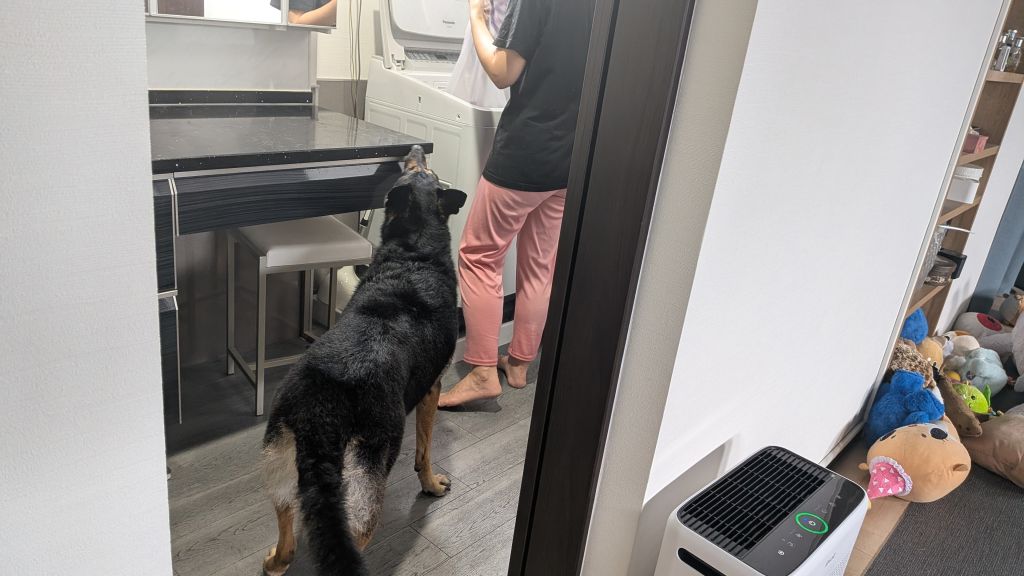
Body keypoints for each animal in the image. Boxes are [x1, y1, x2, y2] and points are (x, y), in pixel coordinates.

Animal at [260, 145, 467, 576]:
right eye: (422, 170)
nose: (414, 148)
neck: (413, 253)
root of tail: (319, 412)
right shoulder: (432, 387)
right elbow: (425, 451)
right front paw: (431, 484)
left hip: (279, 458)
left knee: (287, 525)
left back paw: (277, 559)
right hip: (366, 482)